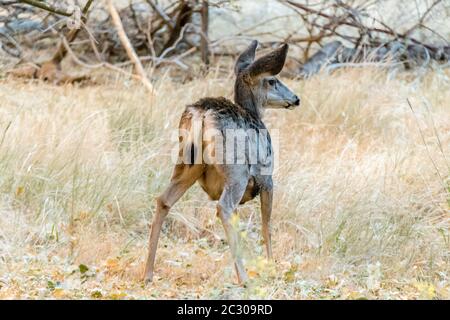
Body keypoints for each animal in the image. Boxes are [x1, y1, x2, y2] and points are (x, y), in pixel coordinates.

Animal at [143, 40, 298, 284]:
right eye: (272, 80)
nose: (295, 99)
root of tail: (202, 114)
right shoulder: (267, 177)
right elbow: (267, 225)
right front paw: (272, 267)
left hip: (186, 163)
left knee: (164, 200)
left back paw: (148, 273)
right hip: (236, 172)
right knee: (224, 207)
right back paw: (244, 278)